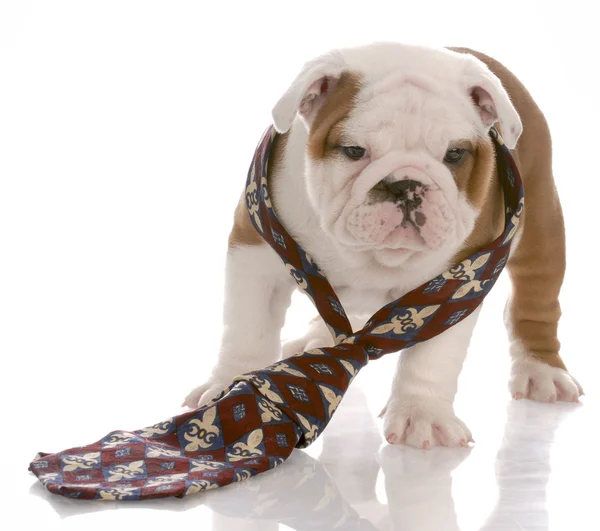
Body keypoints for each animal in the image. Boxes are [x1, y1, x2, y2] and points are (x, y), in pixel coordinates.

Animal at [183, 42, 580, 448]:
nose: (406, 184)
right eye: (354, 151)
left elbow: (433, 358)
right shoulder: (256, 253)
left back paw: (541, 371)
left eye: (454, 154)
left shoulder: (459, 283)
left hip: (541, 227)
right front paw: (226, 388)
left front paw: (422, 416)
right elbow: (248, 327)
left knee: (535, 304)